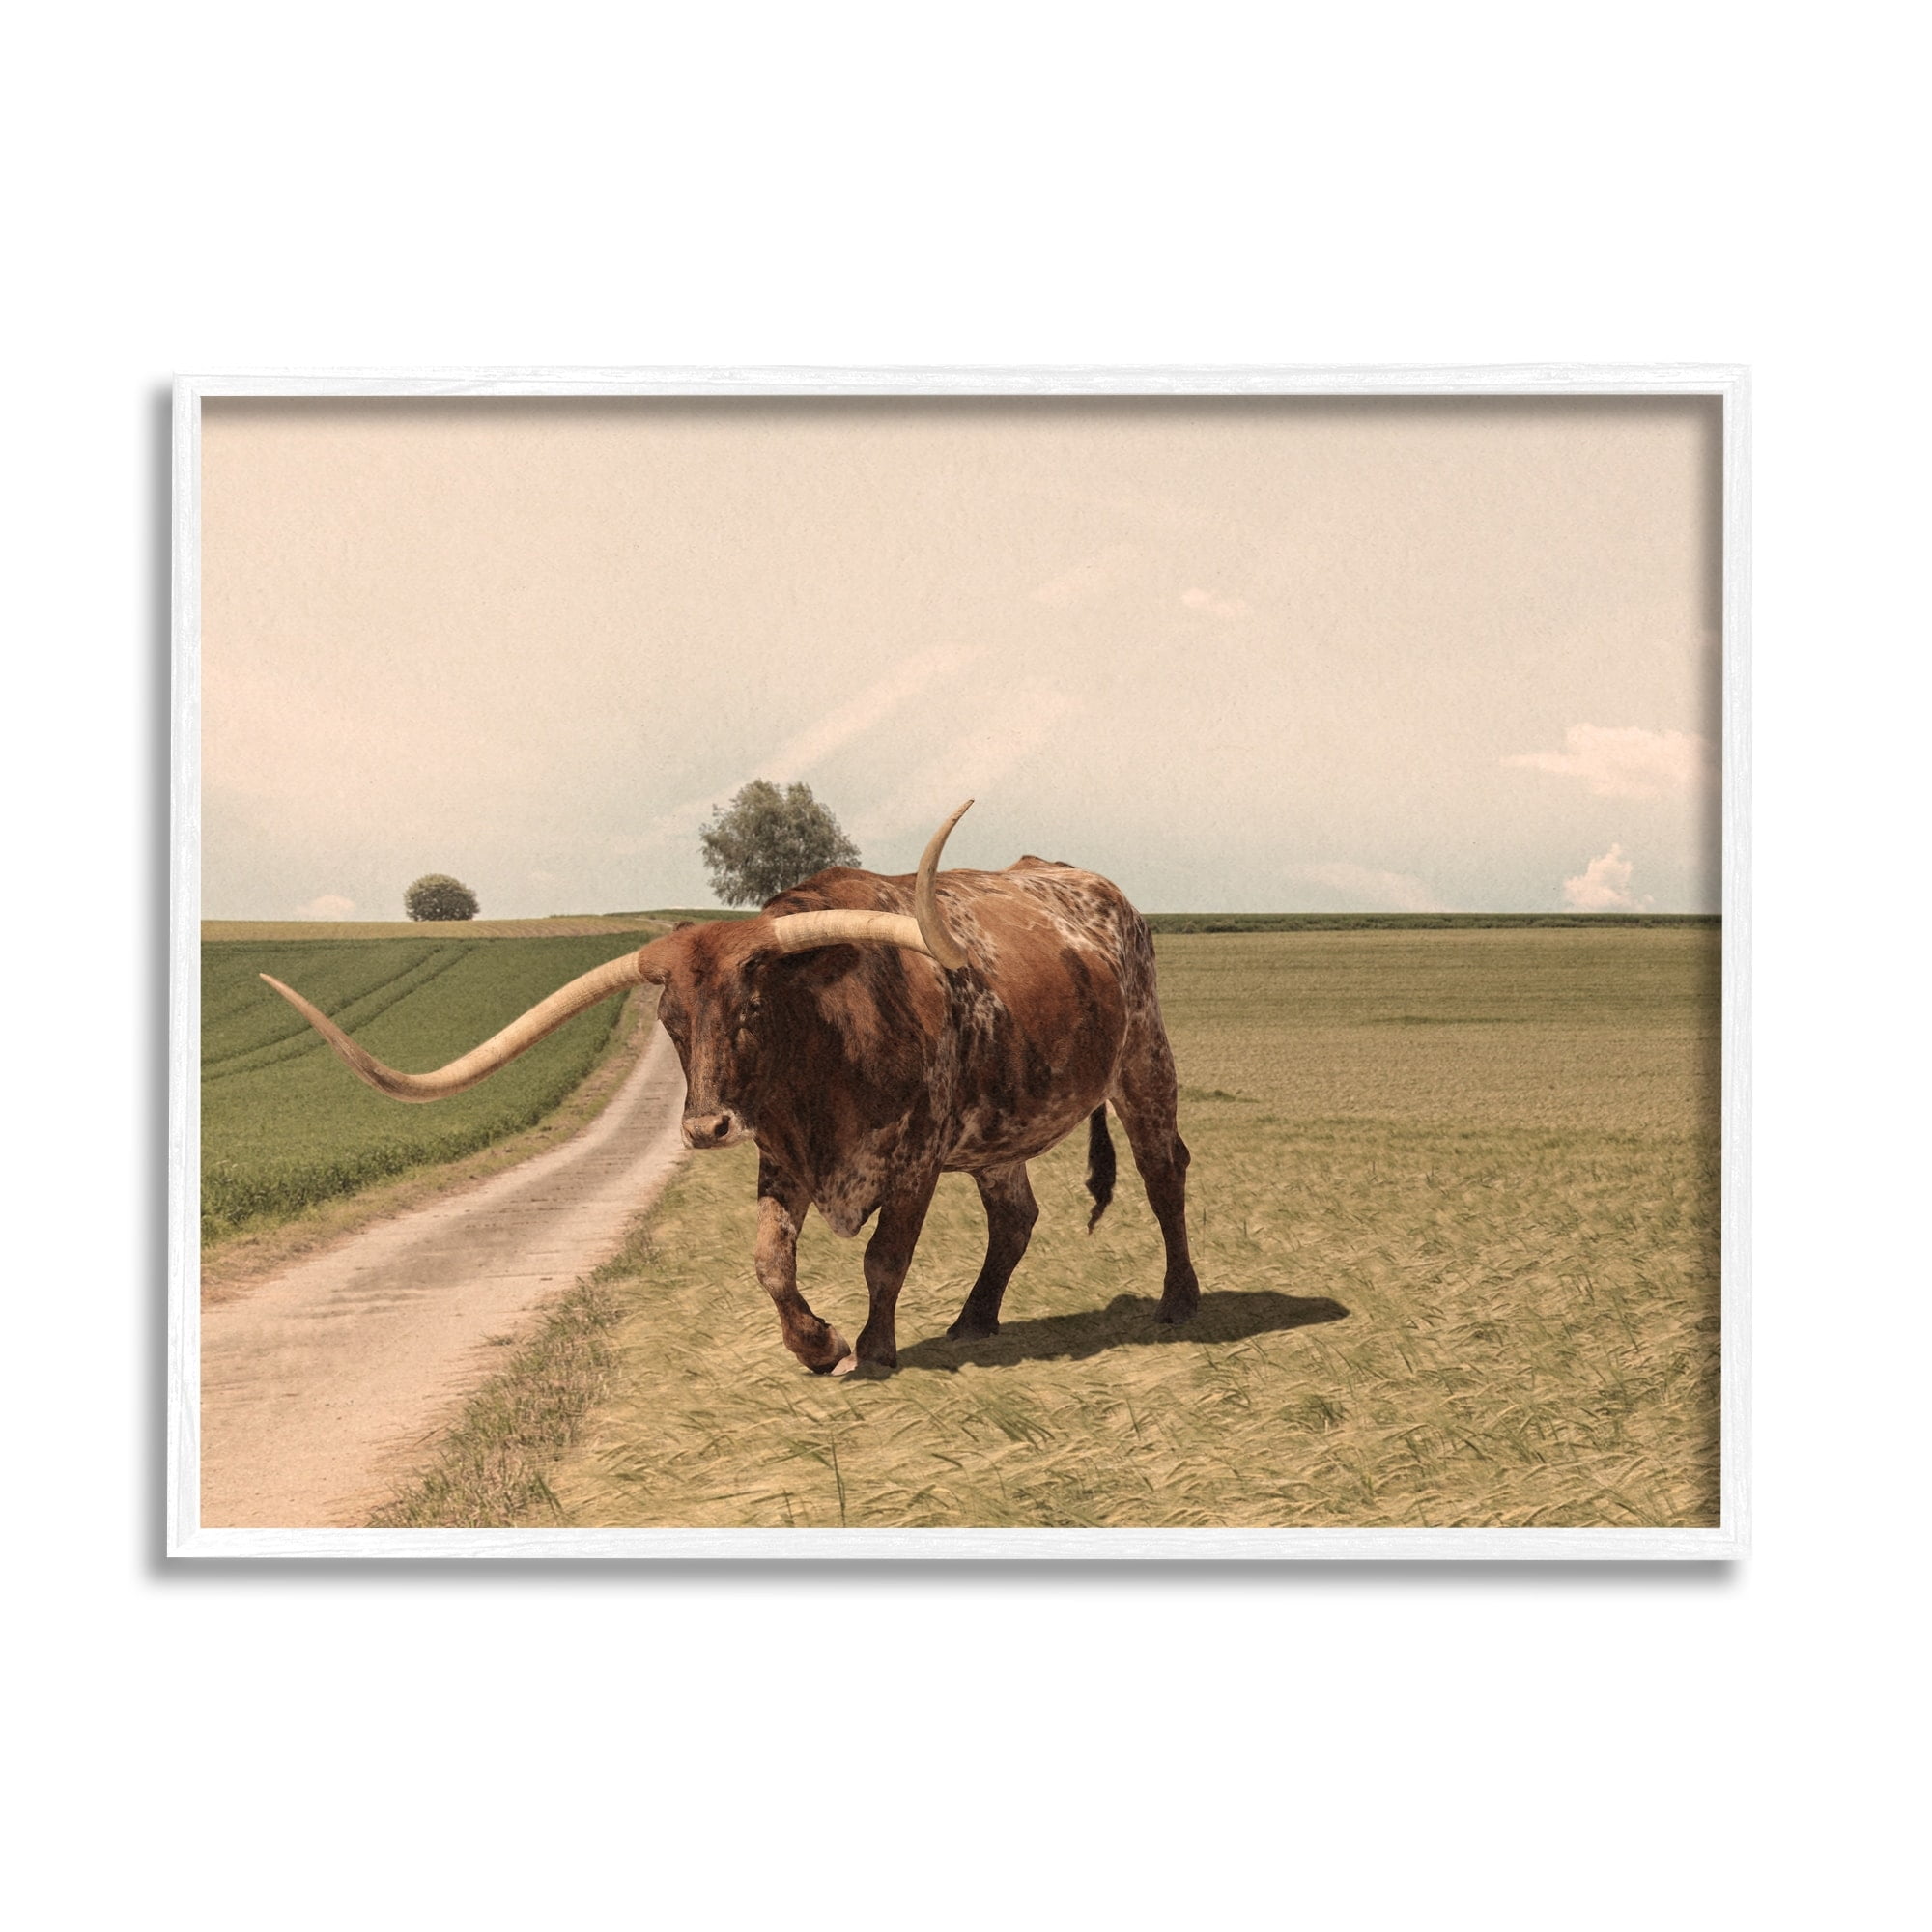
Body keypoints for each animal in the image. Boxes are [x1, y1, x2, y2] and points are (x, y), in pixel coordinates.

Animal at [261, 803, 1200, 1376]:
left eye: (753, 1005)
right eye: (671, 1020)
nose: (706, 1127)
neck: (828, 1050)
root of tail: (1093, 886)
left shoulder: (917, 1157)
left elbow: (884, 1257)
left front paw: (876, 1346)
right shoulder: (782, 1157)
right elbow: (768, 1261)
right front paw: (816, 1344)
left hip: (1144, 1062)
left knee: (1164, 1173)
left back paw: (1180, 1300)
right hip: (1000, 1129)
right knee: (1016, 1217)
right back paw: (974, 1319)